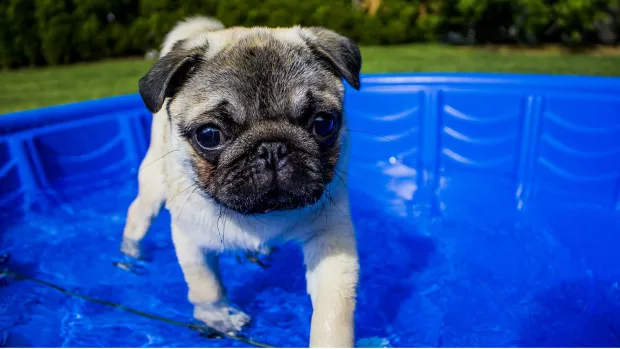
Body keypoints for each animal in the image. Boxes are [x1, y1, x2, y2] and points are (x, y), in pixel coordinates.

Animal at [121, 17, 360, 348]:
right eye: (209, 135)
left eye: (324, 123)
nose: (272, 148)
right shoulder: (190, 239)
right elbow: (206, 286)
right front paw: (218, 316)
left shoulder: (331, 239)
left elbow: (333, 310)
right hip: (154, 186)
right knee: (137, 216)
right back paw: (129, 255)